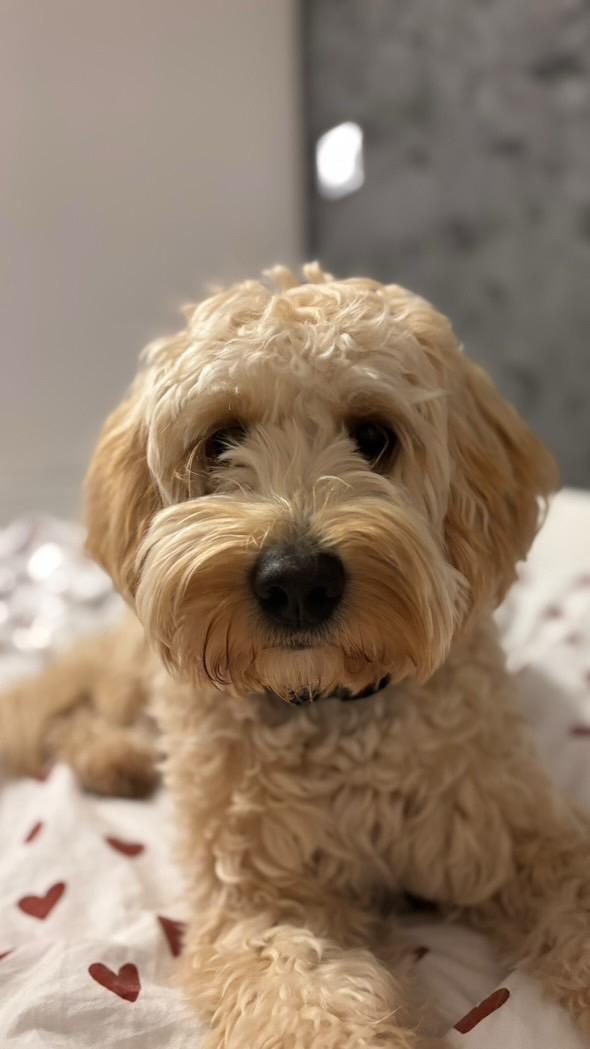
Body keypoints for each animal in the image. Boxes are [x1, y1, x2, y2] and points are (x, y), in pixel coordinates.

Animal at [3, 262, 590, 1048]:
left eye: (374, 435)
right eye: (220, 440)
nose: (298, 581)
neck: (332, 706)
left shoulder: (521, 837)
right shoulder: (262, 903)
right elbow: (316, 1004)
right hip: (137, 673)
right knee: (77, 712)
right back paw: (114, 757)